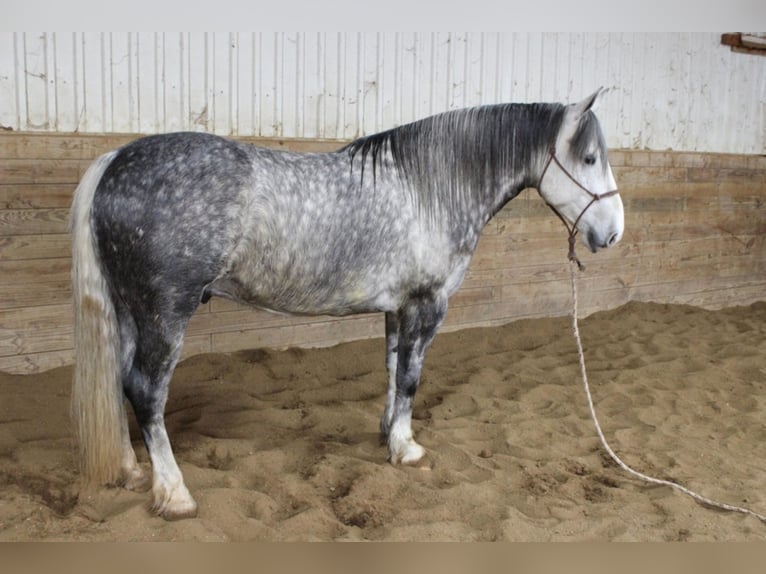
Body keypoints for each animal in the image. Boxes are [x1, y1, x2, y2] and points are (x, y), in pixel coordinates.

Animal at [70, 89, 624, 520]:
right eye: (589, 159)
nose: (613, 232)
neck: (428, 188)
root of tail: (113, 161)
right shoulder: (427, 305)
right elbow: (410, 377)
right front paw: (407, 448)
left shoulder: (398, 308)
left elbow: (392, 368)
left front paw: (388, 434)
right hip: (165, 313)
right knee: (146, 391)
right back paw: (174, 493)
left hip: (130, 313)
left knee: (119, 382)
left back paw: (130, 469)